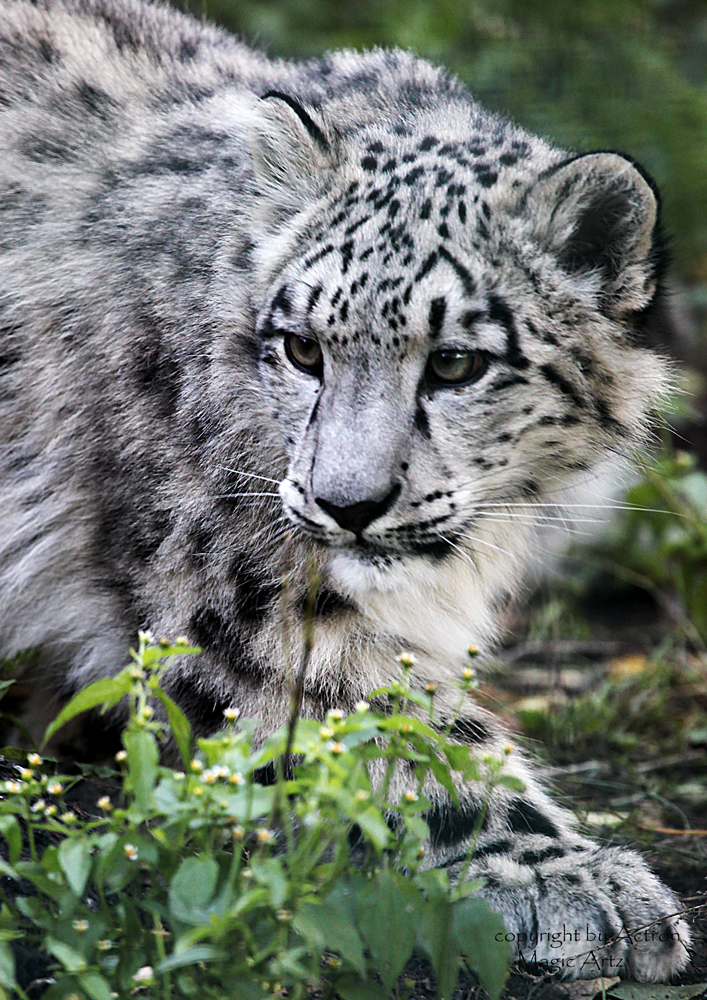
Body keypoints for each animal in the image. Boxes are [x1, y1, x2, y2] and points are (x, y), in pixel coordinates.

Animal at [0, 0, 692, 980]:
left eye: (455, 362)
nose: (346, 503)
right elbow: (400, 731)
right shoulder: (239, 593)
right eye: (301, 347)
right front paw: (562, 876)